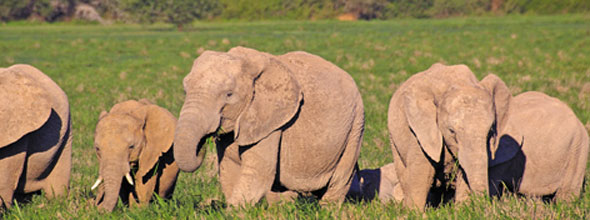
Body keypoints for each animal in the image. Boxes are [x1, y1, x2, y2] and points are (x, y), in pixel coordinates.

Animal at [171, 46, 366, 206]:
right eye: (185, 91)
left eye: (229, 94)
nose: (201, 145)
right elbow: (229, 169)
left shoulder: (270, 121)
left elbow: (258, 173)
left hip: (355, 125)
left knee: (339, 180)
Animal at [388, 63, 512, 210]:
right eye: (452, 131)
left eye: (490, 132)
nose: (484, 208)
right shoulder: (420, 130)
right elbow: (422, 170)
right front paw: (414, 212)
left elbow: (463, 171)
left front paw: (463, 210)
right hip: (393, 137)